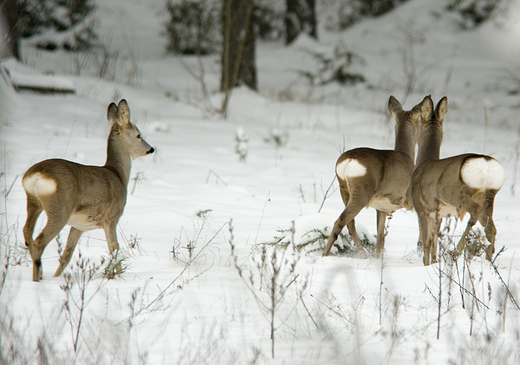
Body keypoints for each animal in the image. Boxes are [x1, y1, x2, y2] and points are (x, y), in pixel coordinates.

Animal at [21, 99, 154, 282]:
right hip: (60, 209)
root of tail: (36, 176)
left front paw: (56, 277)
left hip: (33, 201)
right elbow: (114, 249)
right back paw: (36, 280)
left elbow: (67, 255)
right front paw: (119, 277)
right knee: (39, 241)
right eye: (139, 135)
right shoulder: (111, 217)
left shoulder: (79, 226)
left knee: (27, 232)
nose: (151, 149)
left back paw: (39, 274)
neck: (118, 175)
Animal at [322, 95, 432, 258]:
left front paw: (378, 258)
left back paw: (362, 253)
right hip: (362, 190)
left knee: (351, 222)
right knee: (340, 221)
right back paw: (327, 255)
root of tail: (348, 161)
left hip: (344, 188)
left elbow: (380, 238)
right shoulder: (411, 199)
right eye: (419, 119)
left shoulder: (382, 208)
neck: (406, 155)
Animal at [410, 95, 504, 264]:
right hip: (488, 195)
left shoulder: (421, 207)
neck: (423, 163)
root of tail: (486, 163)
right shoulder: (439, 214)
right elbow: (434, 243)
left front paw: (426, 264)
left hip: (453, 193)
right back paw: (489, 257)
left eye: (419, 116)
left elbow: (427, 242)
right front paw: (434, 263)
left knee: (474, 213)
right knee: (491, 228)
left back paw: (457, 251)